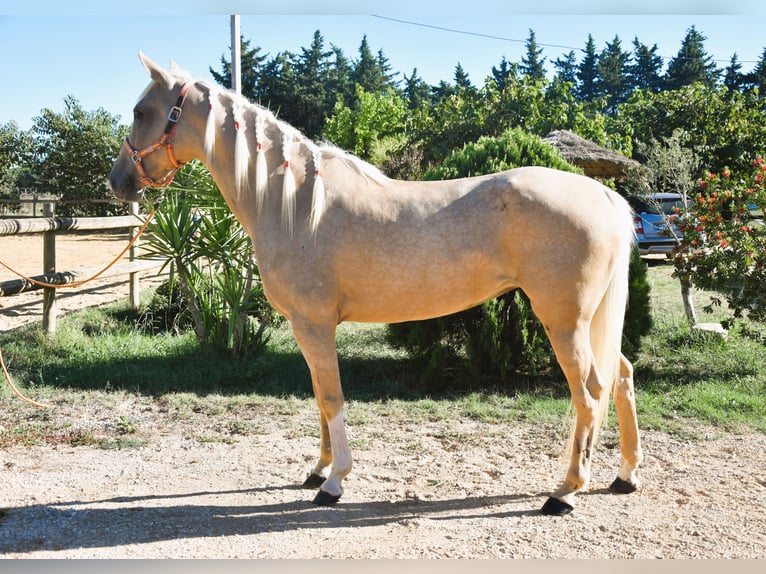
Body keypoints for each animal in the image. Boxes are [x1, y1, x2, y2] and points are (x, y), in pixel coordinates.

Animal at [109, 53, 643, 516]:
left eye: (141, 111)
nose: (118, 182)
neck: (294, 203)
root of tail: (604, 195)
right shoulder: (310, 329)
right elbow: (319, 394)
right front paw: (318, 468)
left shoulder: (313, 324)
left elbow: (331, 397)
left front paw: (334, 482)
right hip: (591, 321)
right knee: (621, 374)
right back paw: (625, 476)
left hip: (564, 322)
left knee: (590, 392)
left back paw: (565, 492)